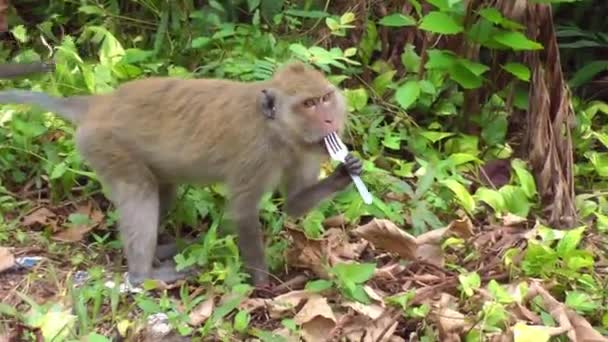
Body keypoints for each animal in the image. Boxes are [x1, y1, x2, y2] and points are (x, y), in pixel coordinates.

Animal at [0, 60, 364, 286]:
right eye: (308, 105)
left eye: (326, 98)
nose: (330, 119)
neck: (276, 130)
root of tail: (98, 103)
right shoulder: (256, 156)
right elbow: (243, 213)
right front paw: (263, 284)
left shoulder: (305, 150)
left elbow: (294, 205)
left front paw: (346, 172)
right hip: (104, 145)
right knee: (140, 191)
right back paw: (143, 274)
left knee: (163, 189)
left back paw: (161, 252)